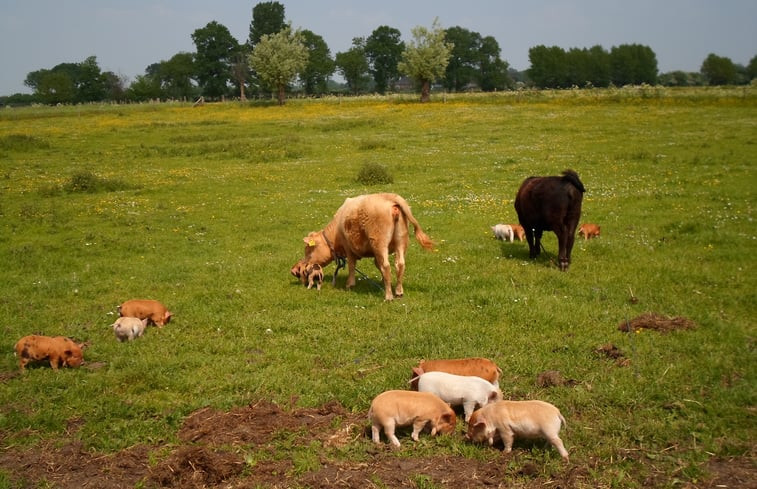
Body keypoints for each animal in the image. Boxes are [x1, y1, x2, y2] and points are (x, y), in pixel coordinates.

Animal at [298, 193, 434, 300]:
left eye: (308, 250)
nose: (304, 266)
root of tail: (390, 197)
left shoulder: (348, 247)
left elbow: (352, 265)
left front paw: (350, 284)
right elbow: (377, 265)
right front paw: (383, 281)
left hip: (379, 242)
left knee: (386, 266)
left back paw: (388, 296)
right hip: (401, 241)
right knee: (399, 264)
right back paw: (398, 292)